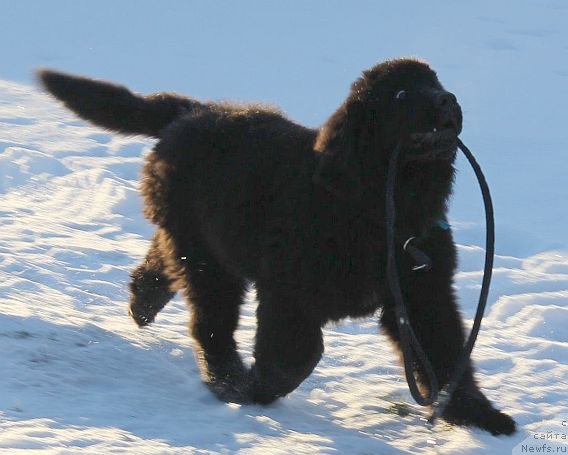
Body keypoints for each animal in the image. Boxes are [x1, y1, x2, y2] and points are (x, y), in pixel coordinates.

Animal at [40, 58, 516, 436]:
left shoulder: (422, 295)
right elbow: (297, 355)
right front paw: (259, 390)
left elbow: (448, 355)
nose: (447, 101)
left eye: (436, 82)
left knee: (164, 263)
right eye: (401, 94)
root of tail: (193, 110)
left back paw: (143, 303)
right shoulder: (289, 291)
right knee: (210, 321)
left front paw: (480, 416)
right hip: (209, 259)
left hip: (201, 239)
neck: (379, 207)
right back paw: (227, 380)